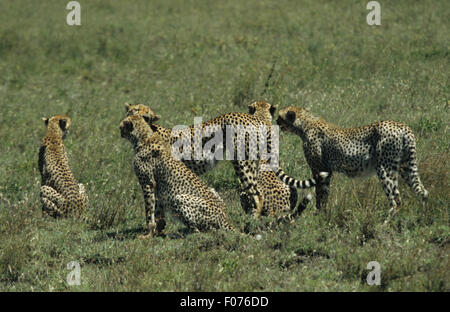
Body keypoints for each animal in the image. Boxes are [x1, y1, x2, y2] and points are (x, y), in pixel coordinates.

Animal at [274, 105, 428, 212]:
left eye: (280, 117)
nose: (275, 122)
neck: (306, 123)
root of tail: (403, 126)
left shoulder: (319, 170)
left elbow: (320, 194)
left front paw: (318, 216)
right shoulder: (326, 172)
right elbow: (325, 195)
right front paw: (323, 215)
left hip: (384, 168)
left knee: (396, 200)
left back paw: (386, 222)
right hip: (405, 167)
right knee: (422, 191)